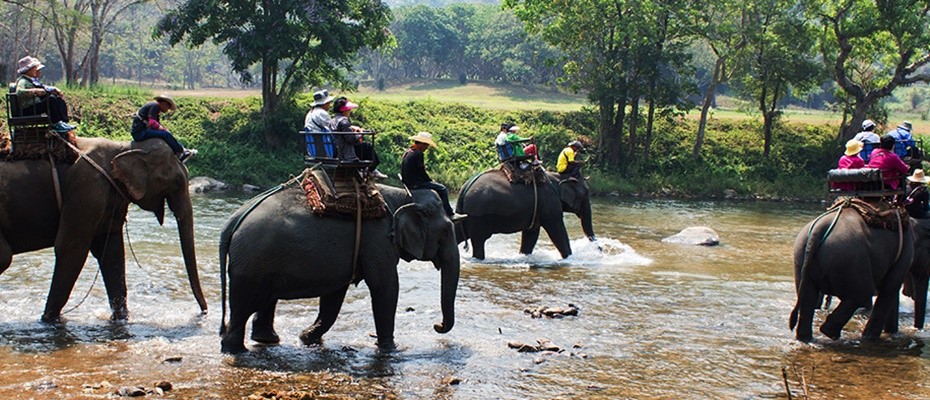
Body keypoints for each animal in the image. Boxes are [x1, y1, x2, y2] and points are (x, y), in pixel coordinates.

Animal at [0, 138, 207, 322]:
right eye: (178, 181)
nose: (203, 312)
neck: (124, 147)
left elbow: (112, 252)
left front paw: (121, 319)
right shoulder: (87, 190)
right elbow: (71, 248)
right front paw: (49, 320)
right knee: (5, 257)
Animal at [218, 184, 464, 354]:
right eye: (445, 231)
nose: (437, 325)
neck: (402, 195)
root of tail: (231, 222)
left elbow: (334, 297)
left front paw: (306, 338)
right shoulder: (377, 239)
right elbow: (385, 287)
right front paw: (390, 349)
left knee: (266, 300)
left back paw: (267, 340)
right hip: (251, 265)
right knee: (245, 305)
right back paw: (236, 350)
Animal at [452, 169, 596, 260]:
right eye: (586, 193)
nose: (598, 248)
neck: (557, 176)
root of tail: (463, 190)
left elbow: (531, 234)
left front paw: (524, 256)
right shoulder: (550, 204)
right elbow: (557, 230)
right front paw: (569, 258)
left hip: (466, 215)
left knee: (458, 232)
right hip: (478, 215)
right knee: (479, 242)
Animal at [788, 203, 908, 340]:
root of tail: (817, 230)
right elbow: (890, 286)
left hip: (801, 256)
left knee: (808, 297)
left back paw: (807, 337)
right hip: (848, 259)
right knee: (863, 293)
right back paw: (831, 333)